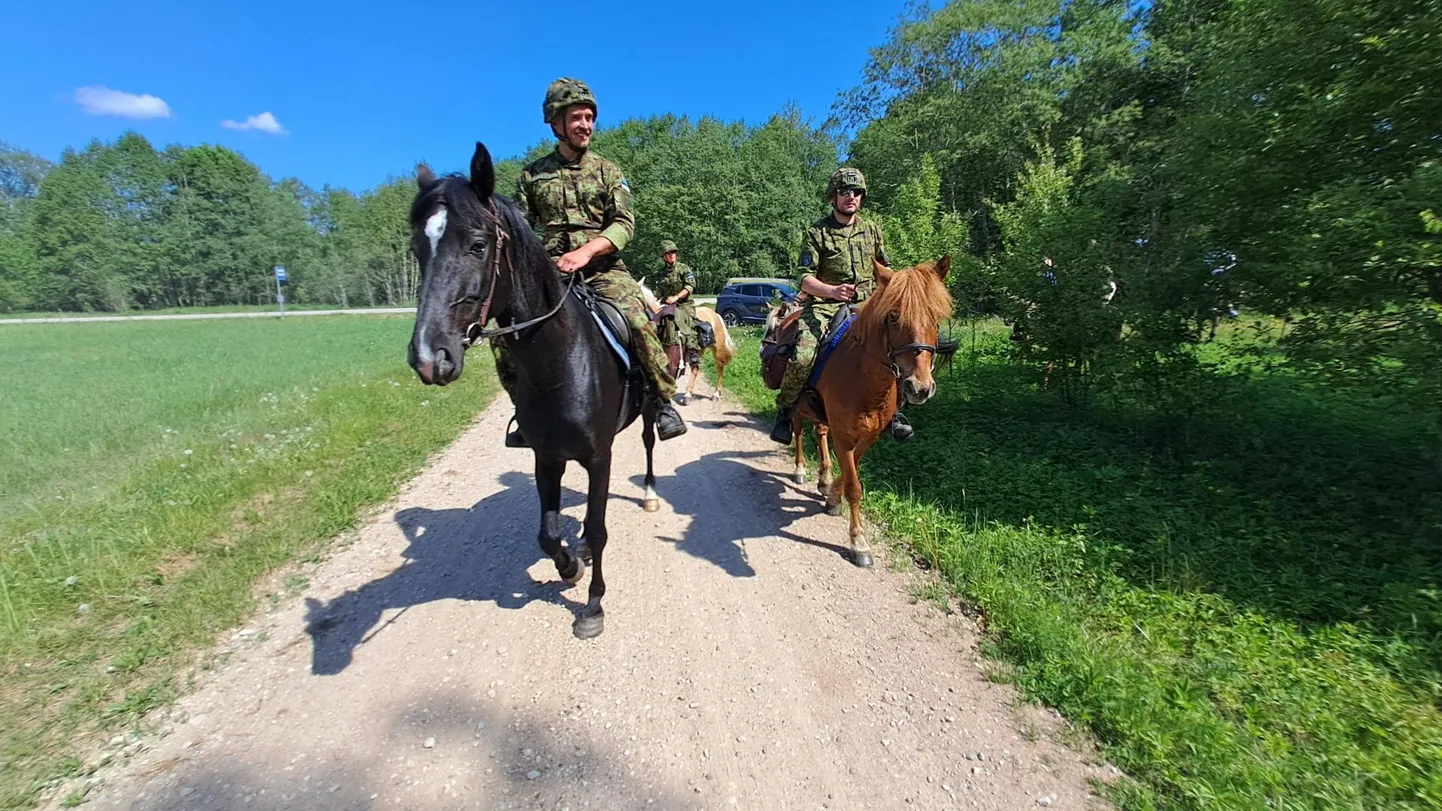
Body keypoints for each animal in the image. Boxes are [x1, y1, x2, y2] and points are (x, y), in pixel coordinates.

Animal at [400, 145, 660, 637]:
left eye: (478, 244)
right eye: (417, 249)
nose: (428, 357)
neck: (559, 363)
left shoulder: (599, 458)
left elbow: (599, 527)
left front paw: (593, 604)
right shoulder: (546, 455)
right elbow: (548, 532)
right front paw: (570, 566)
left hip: (651, 409)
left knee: (651, 442)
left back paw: (651, 493)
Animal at [784, 255, 951, 565]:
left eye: (936, 317)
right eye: (893, 317)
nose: (919, 387)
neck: (863, 375)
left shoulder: (869, 434)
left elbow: (851, 473)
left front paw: (831, 495)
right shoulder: (844, 435)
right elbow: (855, 487)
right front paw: (858, 542)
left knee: (819, 432)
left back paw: (823, 478)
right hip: (798, 405)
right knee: (799, 431)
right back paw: (800, 469)